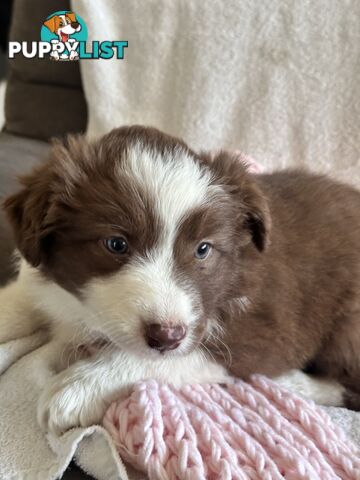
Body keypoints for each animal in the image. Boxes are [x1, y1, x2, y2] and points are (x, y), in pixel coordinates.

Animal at [0, 125, 360, 434]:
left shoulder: (264, 327)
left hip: (349, 323)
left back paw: (290, 384)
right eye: (116, 244)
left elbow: (169, 358)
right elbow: (24, 300)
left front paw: (78, 387)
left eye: (203, 249)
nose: (167, 336)